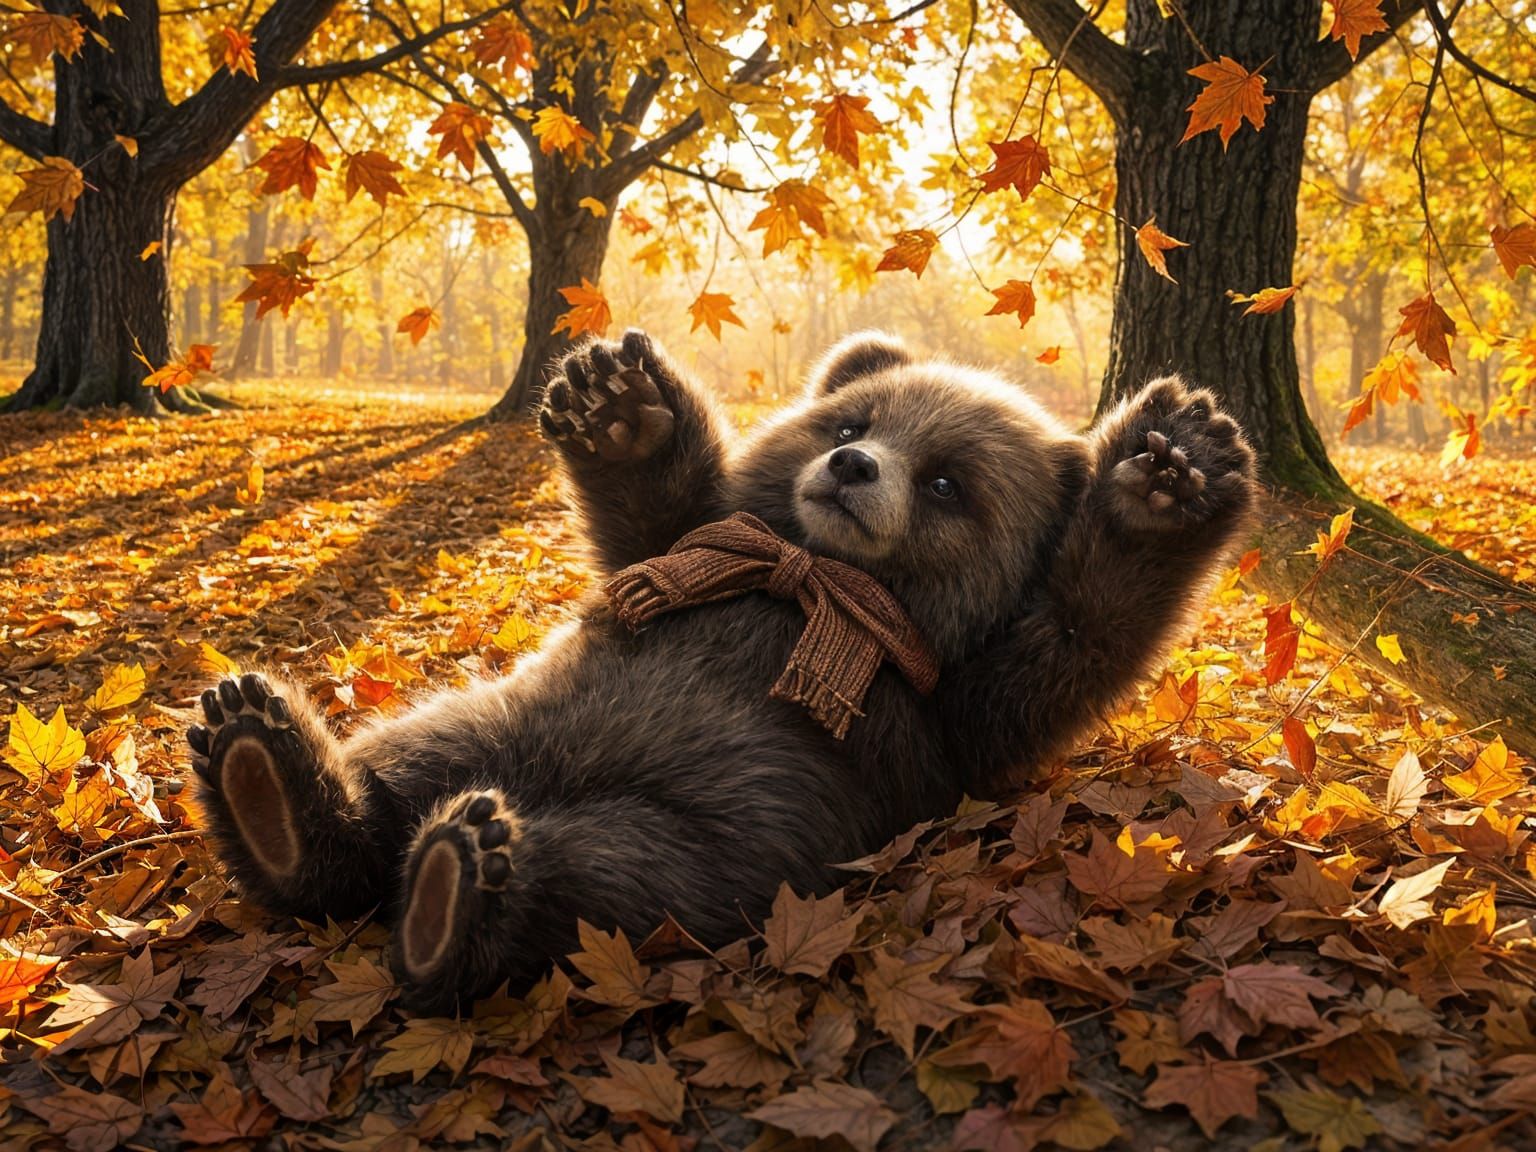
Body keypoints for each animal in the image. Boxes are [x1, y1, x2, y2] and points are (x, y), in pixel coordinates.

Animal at [187, 329, 1257, 1014]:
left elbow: (1069, 646)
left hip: (742, 838)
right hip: (490, 718)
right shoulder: (692, 564)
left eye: (950, 480)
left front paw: (1170, 471)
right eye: (850, 423)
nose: (854, 470)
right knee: (402, 759)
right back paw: (263, 771)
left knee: (617, 886)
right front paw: (620, 404)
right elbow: (653, 523)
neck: (815, 578)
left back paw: (455, 884)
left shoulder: (933, 706)